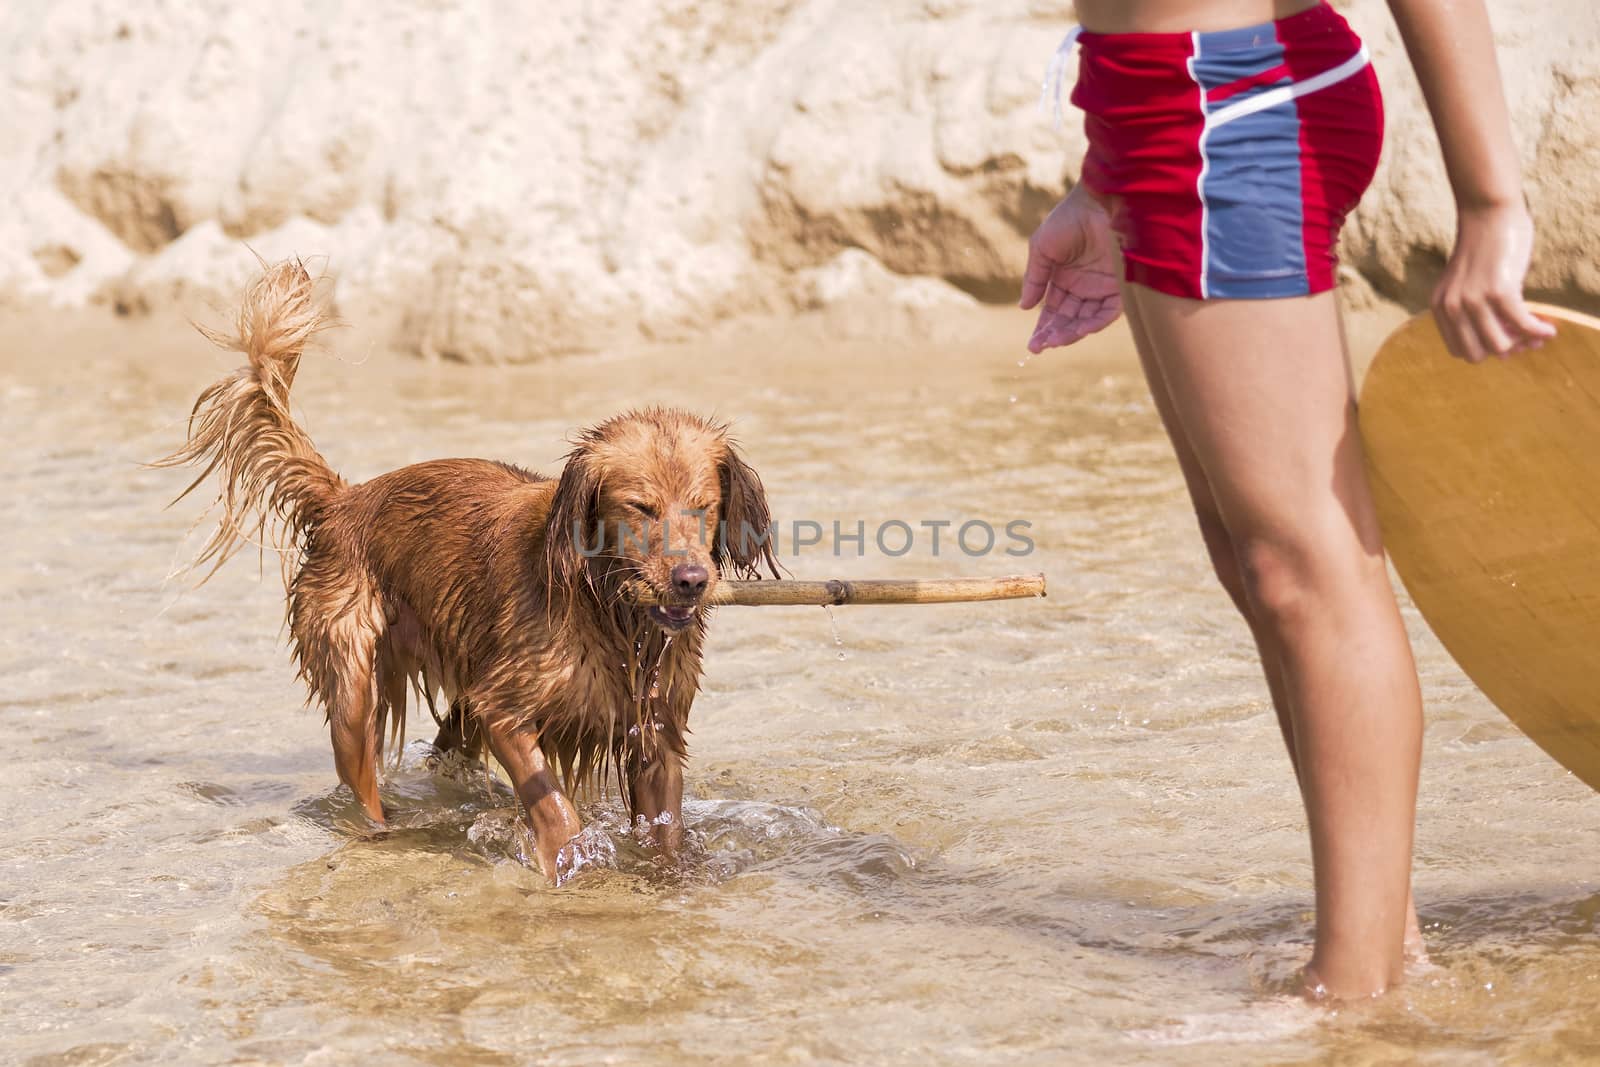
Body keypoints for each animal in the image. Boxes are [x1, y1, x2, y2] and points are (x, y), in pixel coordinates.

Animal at [162, 262, 780, 883]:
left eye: (704, 506)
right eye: (640, 507)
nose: (691, 581)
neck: (607, 610)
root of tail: (343, 499)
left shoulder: (654, 734)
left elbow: (665, 830)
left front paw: (671, 874)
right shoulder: (503, 708)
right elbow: (556, 808)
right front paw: (571, 860)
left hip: (460, 692)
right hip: (355, 687)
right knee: (361, 780)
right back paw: (381, 833)